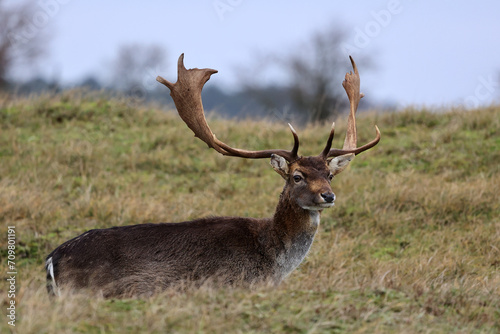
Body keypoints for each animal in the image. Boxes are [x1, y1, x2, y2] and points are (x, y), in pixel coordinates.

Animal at [46, 54, 378, 298]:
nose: (328, 195)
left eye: (329, 175)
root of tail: (51, 260)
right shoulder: (231, 283)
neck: (272, 260)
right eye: (297, 176)